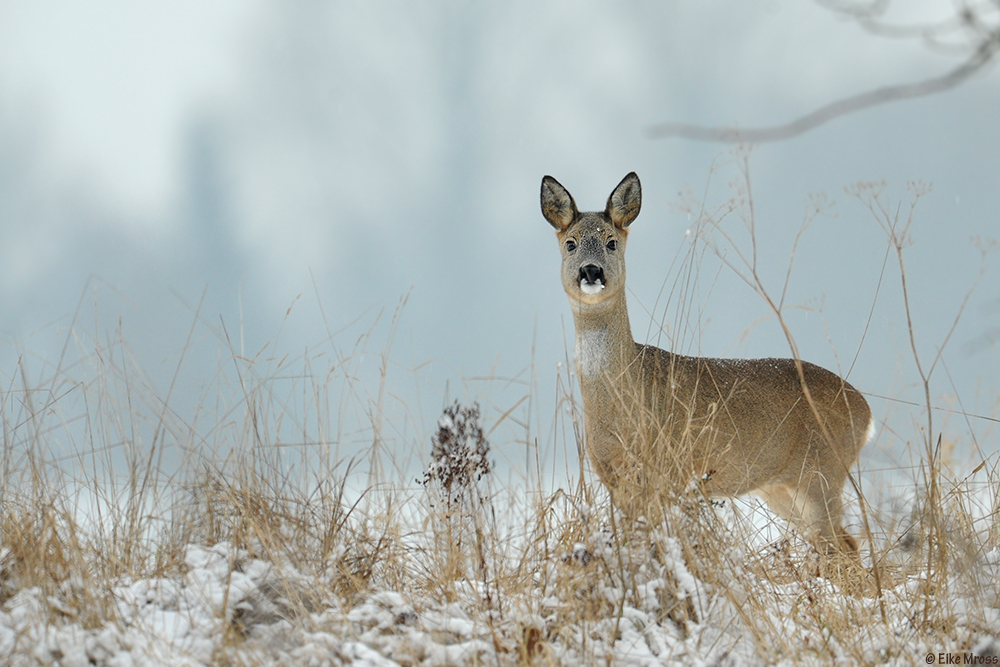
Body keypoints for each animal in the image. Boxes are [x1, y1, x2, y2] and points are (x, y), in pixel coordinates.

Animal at [544, 171, 872, 552]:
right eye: (571, 243)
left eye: (611, 242)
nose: (591, 271)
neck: (623, 393)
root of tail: (867, 413)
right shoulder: (616, 480)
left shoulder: (664, 474)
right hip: (782, 488)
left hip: (823, 472)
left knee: (846, 545)